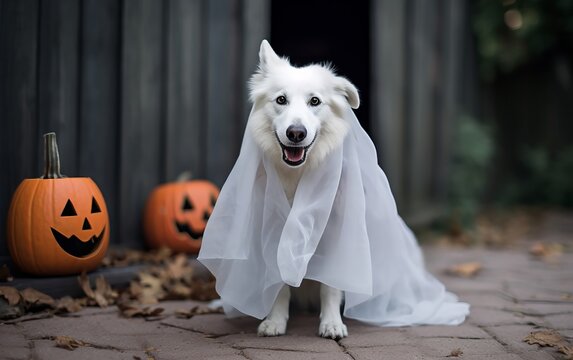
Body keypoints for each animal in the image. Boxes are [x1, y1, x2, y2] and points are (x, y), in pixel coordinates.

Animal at [246, 40, 358, 338]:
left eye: (315, 101)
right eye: (281, 100)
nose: (296, 133)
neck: (297, 176)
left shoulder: (335, 234)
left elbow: (330, 287)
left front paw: (332, 323)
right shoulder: (272, 232)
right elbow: (278, 285)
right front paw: (275, 321)